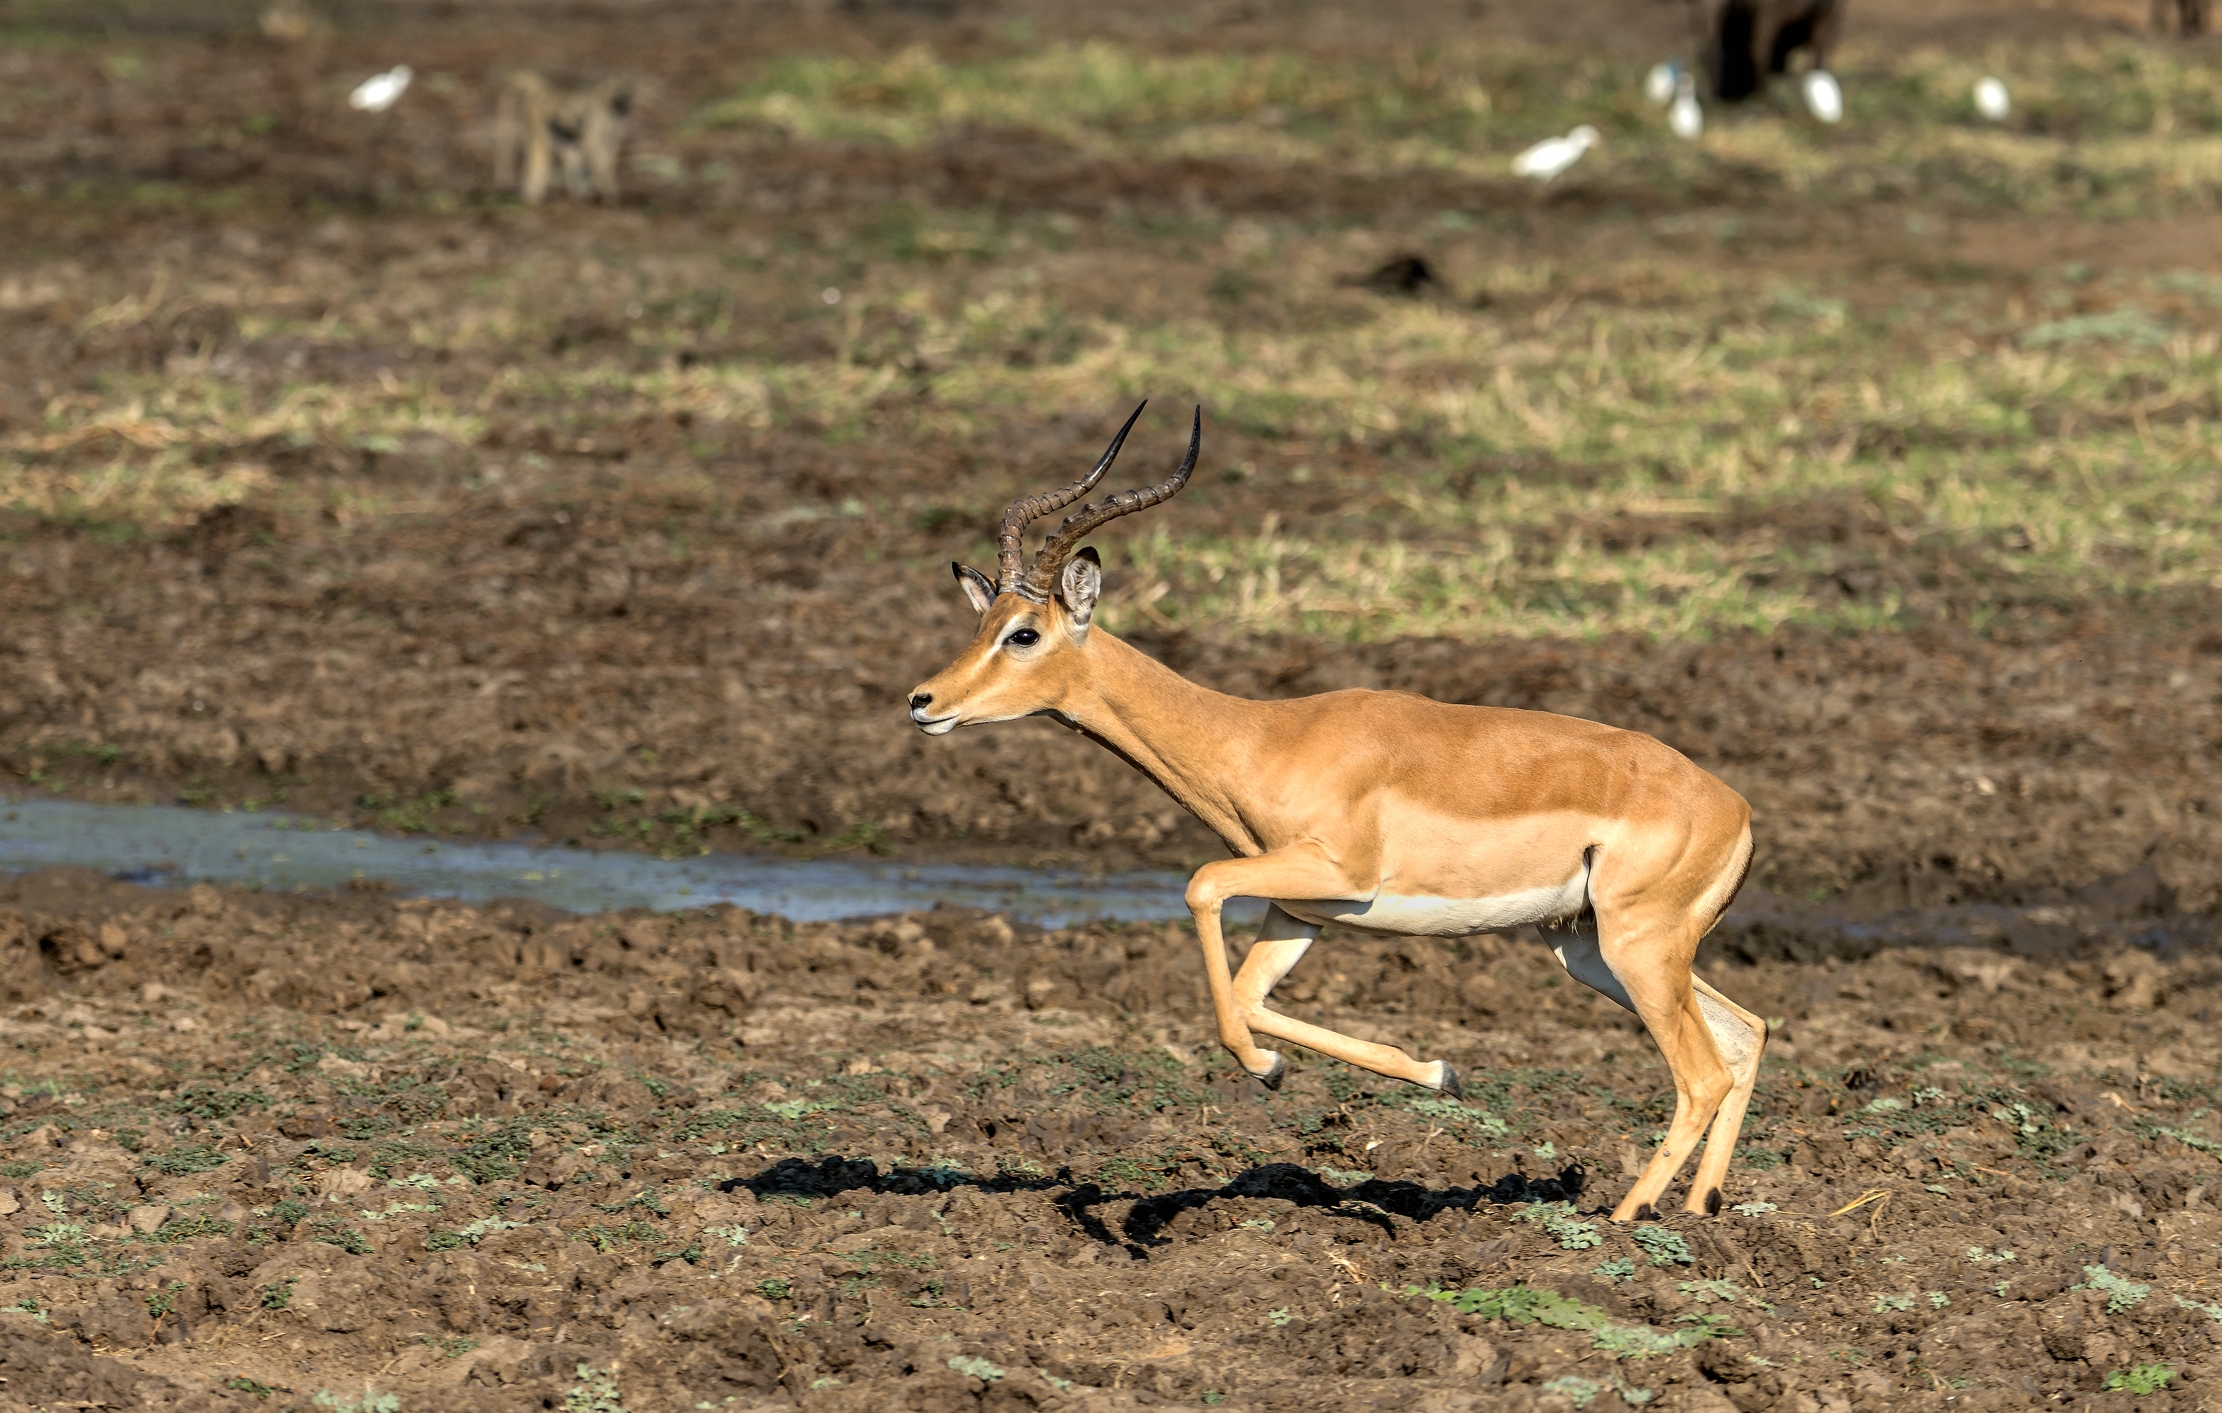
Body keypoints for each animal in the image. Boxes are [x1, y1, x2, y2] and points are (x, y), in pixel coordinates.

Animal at [906, 405, 1767, 1221]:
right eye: (981, 625)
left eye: (1025, 633)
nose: (923, 701)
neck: (1261, 737)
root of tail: (1737, 808)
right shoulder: (1300, 909)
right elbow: (1251, 995)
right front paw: (1434, 1071)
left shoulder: (1333, 875)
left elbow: (1203, 888)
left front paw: (1267, 1069)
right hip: (1591, 947)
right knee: (1746, 1035)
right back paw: (1702, 1210)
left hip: (1636, 946)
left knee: (1702, 1072)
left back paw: (1630, 1217)